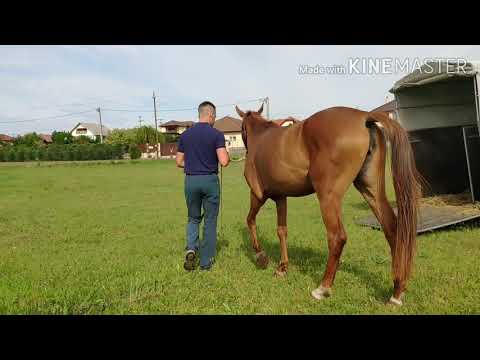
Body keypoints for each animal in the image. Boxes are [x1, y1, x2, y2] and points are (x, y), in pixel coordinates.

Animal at [235, 102, 420, 306]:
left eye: (242, 129)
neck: (261, 138)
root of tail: (364, 116)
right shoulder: (281, 197)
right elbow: (282, 231)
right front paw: (282, 267)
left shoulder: (257, 195)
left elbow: (250, 220)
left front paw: (260, 256)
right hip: (371, 191)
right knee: (392, 230)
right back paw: (397, 291)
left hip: (327, 198)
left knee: (337, 237)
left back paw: (323, 288)